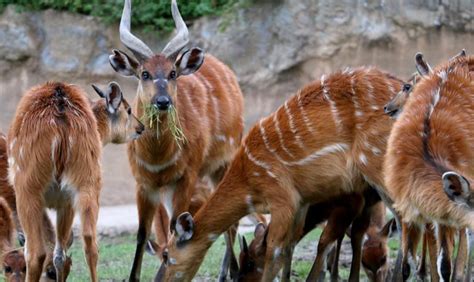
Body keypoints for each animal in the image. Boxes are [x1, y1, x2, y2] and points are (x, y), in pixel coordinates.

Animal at [7, 80, 144, 280]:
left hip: (30, 187)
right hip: (87, 181)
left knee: (35, 252)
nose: (141, 127)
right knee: (89, 243)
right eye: (128, 109)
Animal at [108, 0, 244, 280]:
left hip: (222, 164)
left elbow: (174, 229)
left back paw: (232, 272)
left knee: (232, 221)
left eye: (172, 73)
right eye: (144, 73)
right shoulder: (144, 183)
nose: (162, 101)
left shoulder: (185, 177)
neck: (158, 158)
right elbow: (141, 234)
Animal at [156, 65, 404, 280]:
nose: (159, 280)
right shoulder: (301, 202)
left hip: (377, 167)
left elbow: (274, 252)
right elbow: (289, 248)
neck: (248, 181)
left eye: (167, 255)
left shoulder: (282, 199)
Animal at [386, 53, 474, 282]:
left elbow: (444, 264)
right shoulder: (408, 208)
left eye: (407, 86)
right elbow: (407, 264)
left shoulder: (445, 212)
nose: (387, 107)